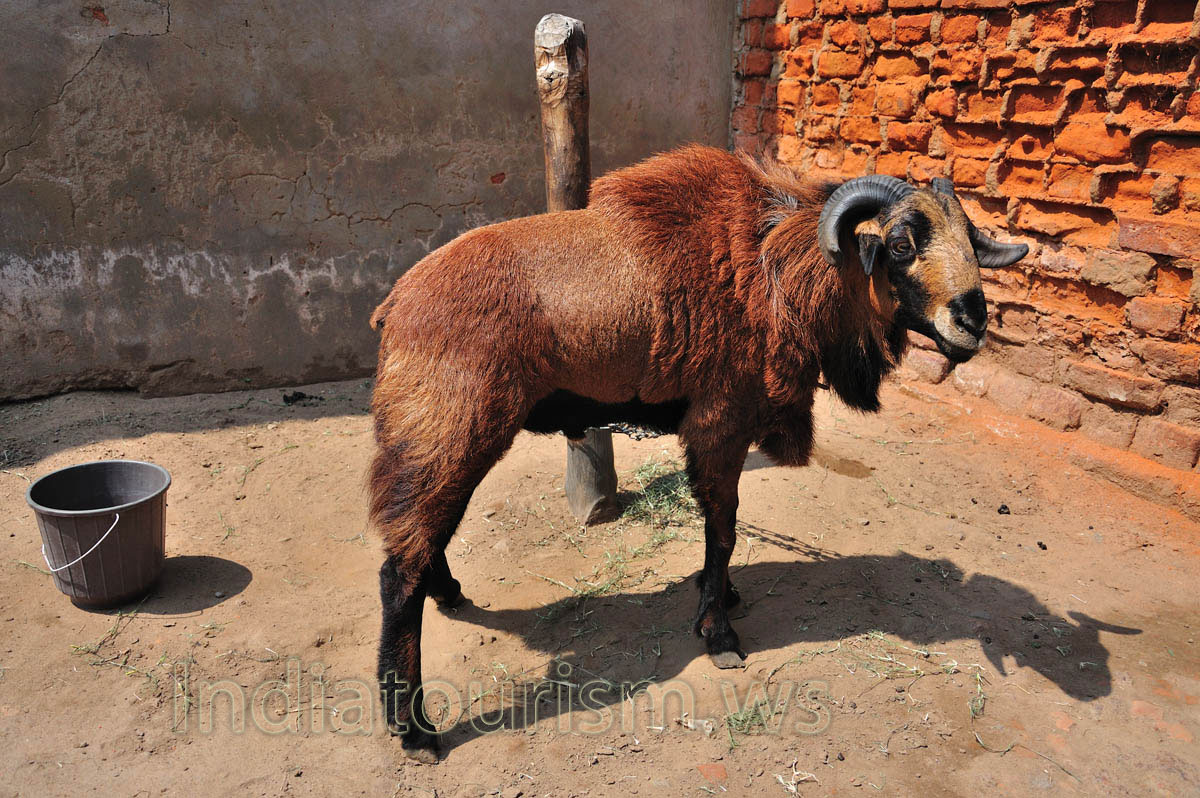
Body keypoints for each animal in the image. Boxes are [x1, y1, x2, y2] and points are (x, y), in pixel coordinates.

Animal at [367, 144, 1028, 761]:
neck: (776, 268)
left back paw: (450, 596)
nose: (973, 321)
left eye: (970, 238)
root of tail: (396, 305)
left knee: (421, 538)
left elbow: (722, 528)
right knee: (399, 569)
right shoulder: (721, 421)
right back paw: (415, 729)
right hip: (450, 427)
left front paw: (724, 597)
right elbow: (723, 527)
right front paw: (719, 633)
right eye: (899, 244)